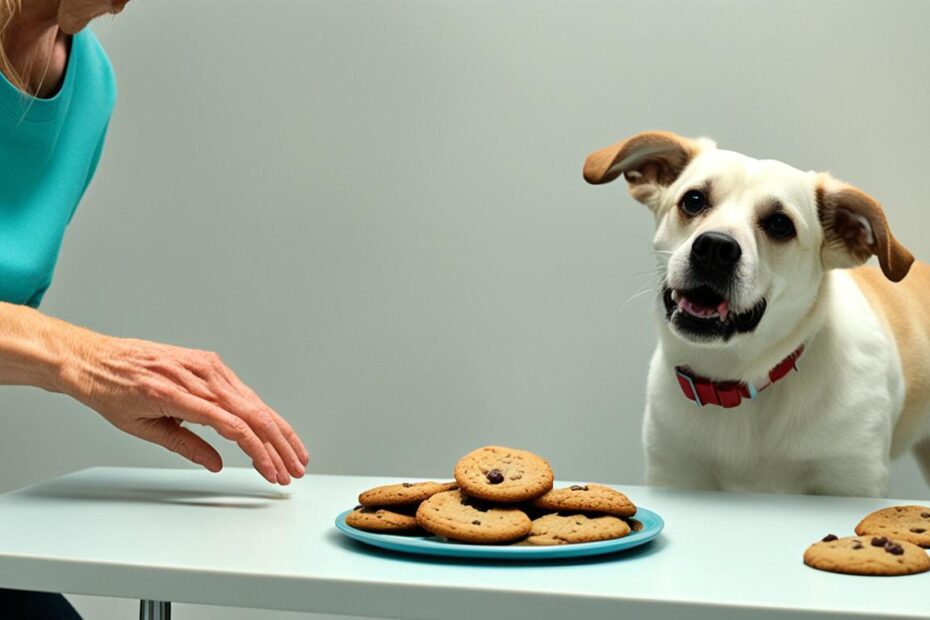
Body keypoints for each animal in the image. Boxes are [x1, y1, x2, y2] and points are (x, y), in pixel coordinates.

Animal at [584, 132, 924, 498]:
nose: (715, 247)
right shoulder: (674, 473)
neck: (734, 380)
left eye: (780, 224)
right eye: (693, 200)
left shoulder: (852, 480)